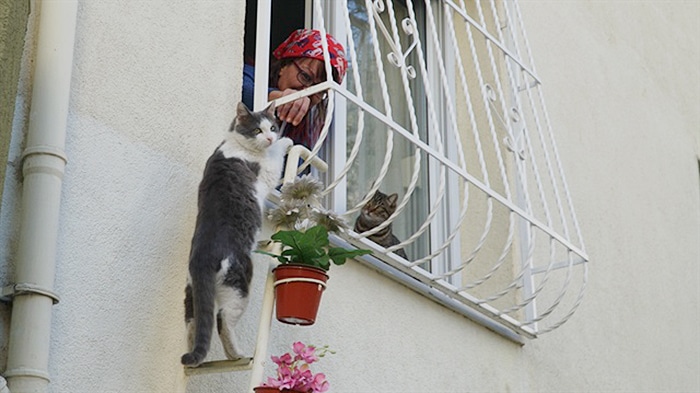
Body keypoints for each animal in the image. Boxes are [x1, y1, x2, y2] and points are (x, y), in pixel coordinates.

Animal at [182, 102, 292, 368]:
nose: (271, 136)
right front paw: (286, 142)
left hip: (191, 295)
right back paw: (238, 355)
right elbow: (276, 157)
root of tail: (202, 258)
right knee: (223, 320)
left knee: (194, 323)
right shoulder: (267, 171)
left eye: (272, 127)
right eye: (258, 130)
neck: (236, 143)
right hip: (238, 284)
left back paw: (194, 361)